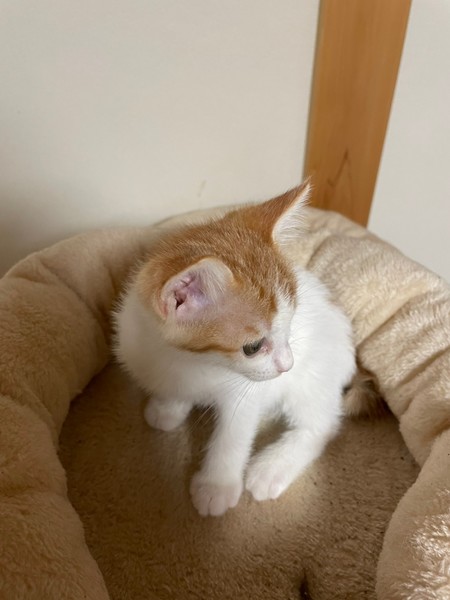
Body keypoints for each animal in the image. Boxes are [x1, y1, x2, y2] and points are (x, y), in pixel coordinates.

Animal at [114, 181, 358, 517]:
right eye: (253, 347)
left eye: (291, 322)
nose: (287, 364)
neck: (190, 362)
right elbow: (174, 391)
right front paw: (167, 408)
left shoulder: (246, 395)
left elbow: (233, 435)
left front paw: (216, 486)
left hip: (315, 375)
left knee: (323, 425)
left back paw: (271, 468)